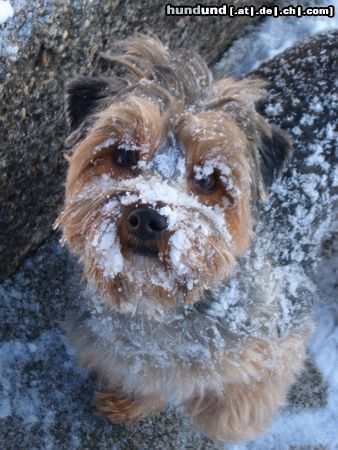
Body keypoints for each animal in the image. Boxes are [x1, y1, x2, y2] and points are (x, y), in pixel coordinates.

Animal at [54, 34, 312, 442]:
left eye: (208, 179)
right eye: (123, 155)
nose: (147, 218)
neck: (159, 301)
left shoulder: (283, 331)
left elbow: (238, 402)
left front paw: (218, 417)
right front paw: (130, 401)